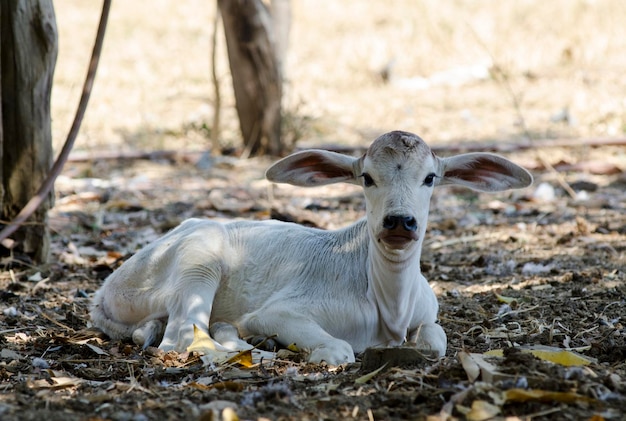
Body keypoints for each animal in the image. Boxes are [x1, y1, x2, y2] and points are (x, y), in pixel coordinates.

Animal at [90, 131, 528, 364]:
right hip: (199, 261)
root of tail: (105, 288)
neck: (389, 309)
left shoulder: (428, 313)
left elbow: (436, 340)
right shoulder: (279, 311)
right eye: (367, 177)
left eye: (431, 178)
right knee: (184, 338)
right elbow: (338, 350)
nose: (400, 222)